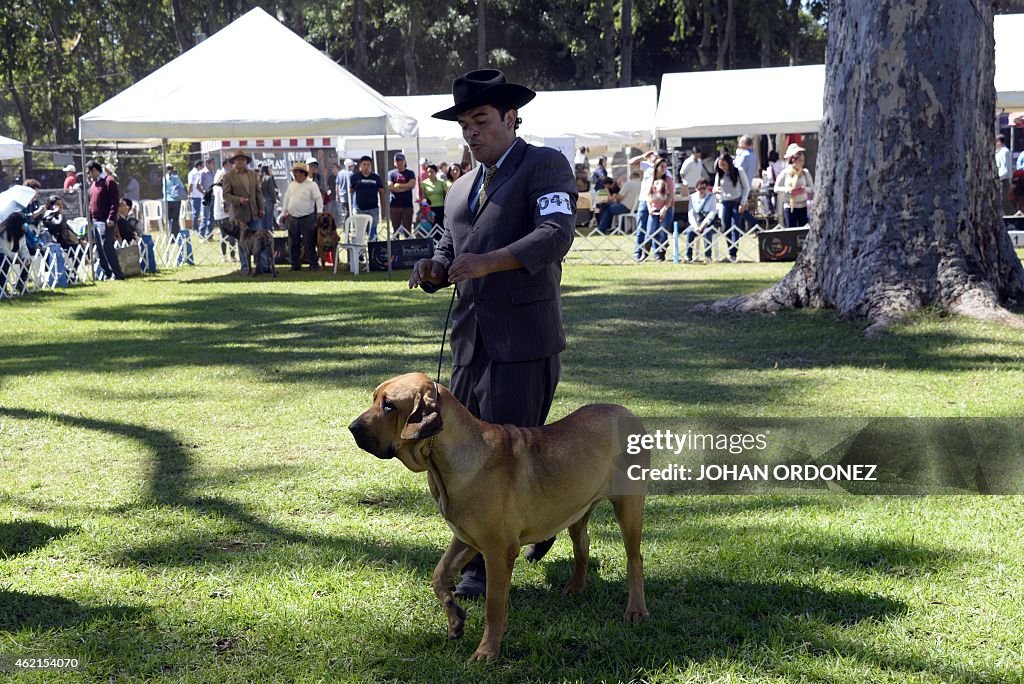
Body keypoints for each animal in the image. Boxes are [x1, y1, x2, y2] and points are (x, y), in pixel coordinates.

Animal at [348, 370, 643, 659]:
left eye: (389, 405)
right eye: (375, 398)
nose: (352, 428)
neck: (444, 458)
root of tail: (627, 412)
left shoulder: (497, 550)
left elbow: (493, 605)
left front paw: (487, 651)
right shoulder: (465, 537)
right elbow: (439, 576)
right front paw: (455, 619)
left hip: (628, 508)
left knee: (634, 560)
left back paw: (636, 610)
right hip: (578, 510)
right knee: (582, 545)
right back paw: (575, 588)